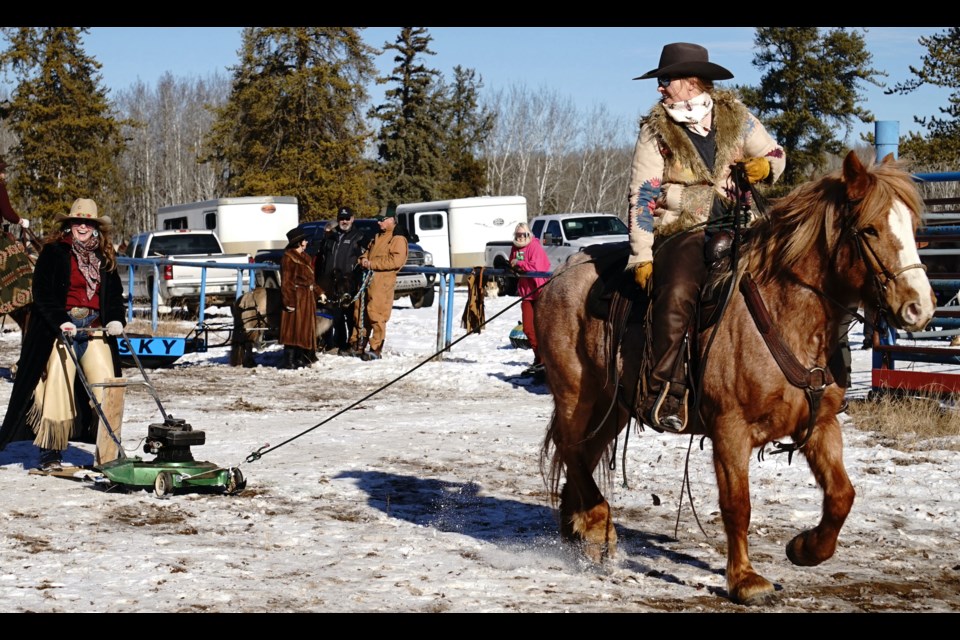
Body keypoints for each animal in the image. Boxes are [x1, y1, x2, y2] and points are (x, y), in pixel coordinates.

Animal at [536, 150, 932, 604]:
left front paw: (806, 549)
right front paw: (745, 579)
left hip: (611, 404)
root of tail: (560, 275)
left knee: (582, 454)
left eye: (912, 227)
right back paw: (599, 526)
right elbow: (737, 505)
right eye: (869, 229)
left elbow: (841, 495)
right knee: (571, 448)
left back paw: (579, 529)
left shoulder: (821, 424)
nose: (920, 307)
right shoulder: (730, 430)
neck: (784, 315)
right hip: (576, 394)